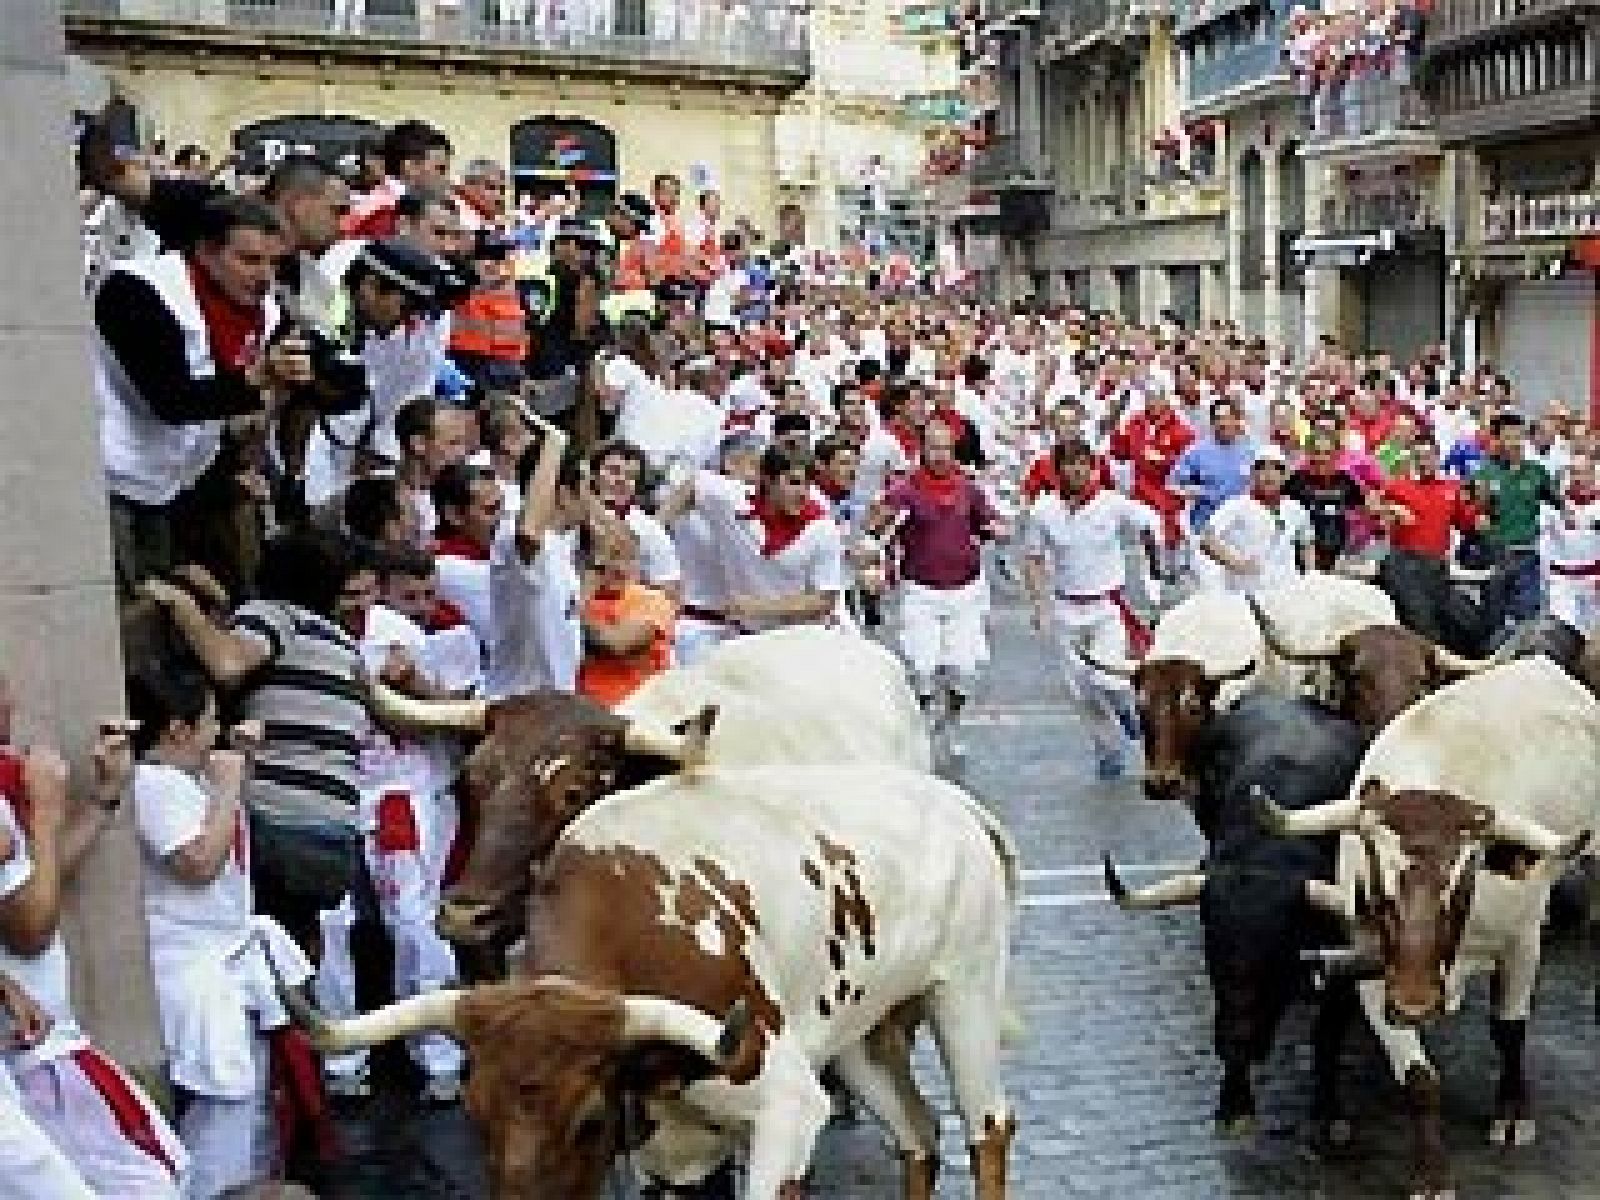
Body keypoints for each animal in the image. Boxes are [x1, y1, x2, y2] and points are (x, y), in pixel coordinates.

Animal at [281, 764, 1017, 1196]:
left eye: (588, 1120)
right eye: (475, 1112)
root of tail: (953, 801)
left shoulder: (786, 1105)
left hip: (966, 989)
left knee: (988, 1129)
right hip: (861, 1031)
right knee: (918, 1133)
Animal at [1107, 691, 1369, 1139]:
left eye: (1281, 954)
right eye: (1212, 948)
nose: (1236, 1042)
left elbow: (1328, 1036)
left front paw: (1328, 1111)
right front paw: (1234, 1104)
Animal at [1260, 659, 1600, 1200]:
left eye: (1465, 875)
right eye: (1378, 884)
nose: (1417, 1003)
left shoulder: (1523, 940)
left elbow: (1509, 1031)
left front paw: (1512, 1115)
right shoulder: (1377, 969)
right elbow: (1421, 1078)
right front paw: (1433, 1176)